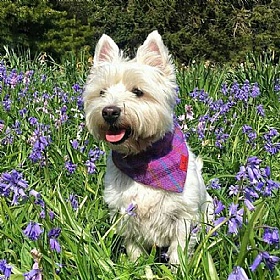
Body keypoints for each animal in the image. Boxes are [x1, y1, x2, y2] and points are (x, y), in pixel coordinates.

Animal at [83, 30, 212, 264]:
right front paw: (136, 267)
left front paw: (178, 269)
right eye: (102, 92)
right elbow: (134, 251)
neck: (144, 159)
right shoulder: (126, 214)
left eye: (138, 91)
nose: (109, 111)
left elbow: (179, 251)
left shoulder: (184, 217)